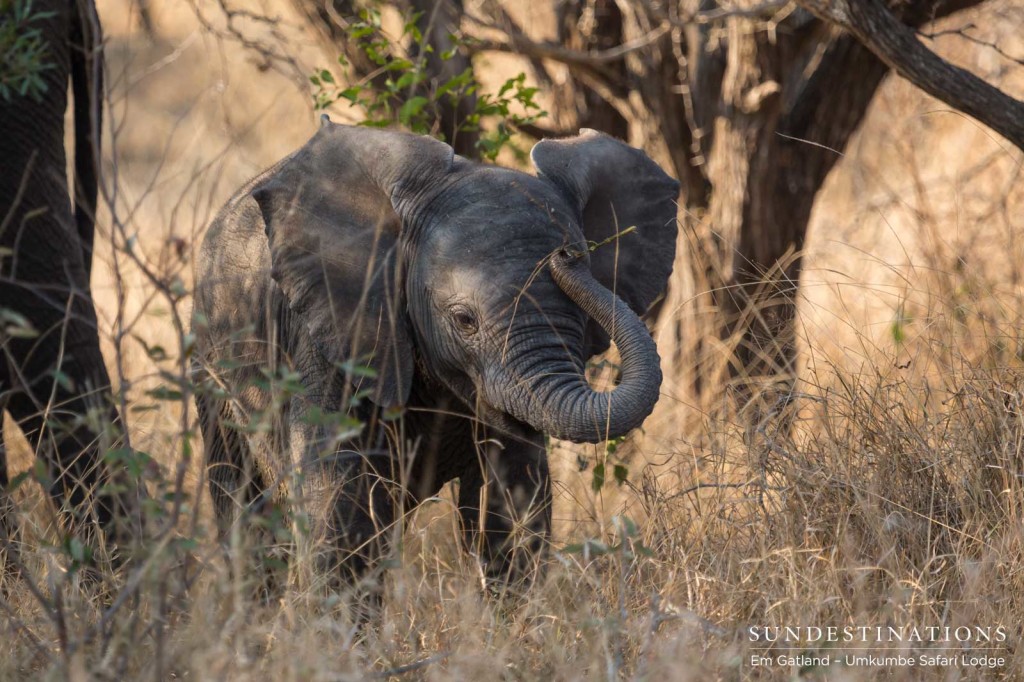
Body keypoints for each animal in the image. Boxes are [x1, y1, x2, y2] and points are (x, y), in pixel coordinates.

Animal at [192, 119, 679, 593]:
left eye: (579, 317)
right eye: (464, 320)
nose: (568, 254)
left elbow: (514, 500)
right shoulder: (332, 336)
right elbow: (337, 500)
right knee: (243, 505)